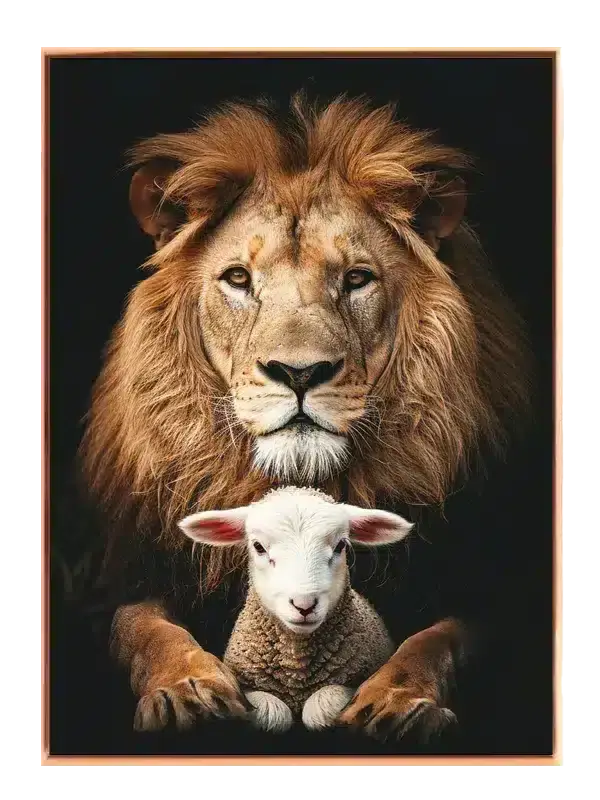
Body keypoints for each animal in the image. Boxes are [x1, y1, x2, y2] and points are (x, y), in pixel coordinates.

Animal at [79, 94, 530, 745]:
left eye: (357, 278)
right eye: (239, 279)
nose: (298, 372)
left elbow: (437, 639)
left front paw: (398, 701)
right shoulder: (133, 577)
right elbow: (145, 629)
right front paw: (187, 690)